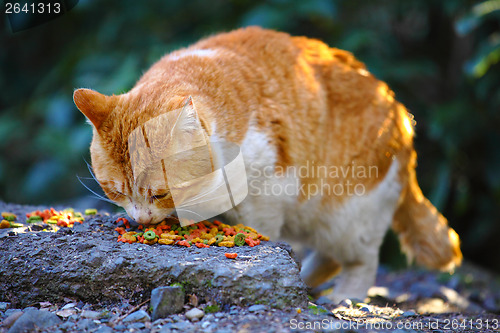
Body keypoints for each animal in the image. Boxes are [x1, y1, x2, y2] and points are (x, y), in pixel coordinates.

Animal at [73, 26, 460, 300]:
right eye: (117, 191)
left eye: (159, 193)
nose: (140, 221)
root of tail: (400, 115)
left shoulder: (266, 196)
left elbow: (260, 229)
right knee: (329, 257)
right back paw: (305, 280)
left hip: (348, 211)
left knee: (359, 259)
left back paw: (343, 297)